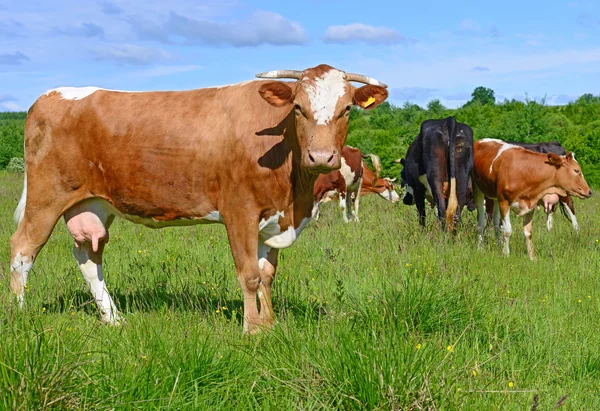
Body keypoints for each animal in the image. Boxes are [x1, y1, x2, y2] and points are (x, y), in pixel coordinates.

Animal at [9, 64, 390, 334]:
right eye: (298, 107)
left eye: (347, 109)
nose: (322, 157)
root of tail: (51, 95)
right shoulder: (239, 211)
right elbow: (249, 274)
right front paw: (252, 331)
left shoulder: (273, 218)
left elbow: (267, 275)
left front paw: (269, 325)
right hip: (46, 195)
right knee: (23, 248)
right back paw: (18, 313)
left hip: (93, 204)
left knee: (88, 256)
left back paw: (113, 319)